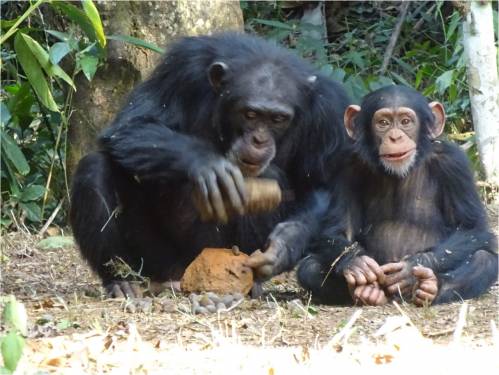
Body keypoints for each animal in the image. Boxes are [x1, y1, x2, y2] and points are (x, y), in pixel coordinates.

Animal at [70, 33, 352, 300]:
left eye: (278, 119)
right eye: (250, 114)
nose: (259, 140)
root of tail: (182, 275)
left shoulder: (329, 110)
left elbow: (322, 185)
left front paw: (283, 246)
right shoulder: (181, 68)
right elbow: (131, 125)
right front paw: (207, 164)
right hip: (154, 259)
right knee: (94, 168)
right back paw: (121, 280)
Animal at [298, 86, 498, 308]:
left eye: (405, 121)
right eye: (383, 123)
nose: (395, 137)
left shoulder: (454, 164)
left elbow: (471, 227)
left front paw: (410, 269)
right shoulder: (346, 165)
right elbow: (339, 229)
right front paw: (356, 261)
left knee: (484, 259)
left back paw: (429, 286)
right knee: (308, 267)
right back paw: (365, 292)